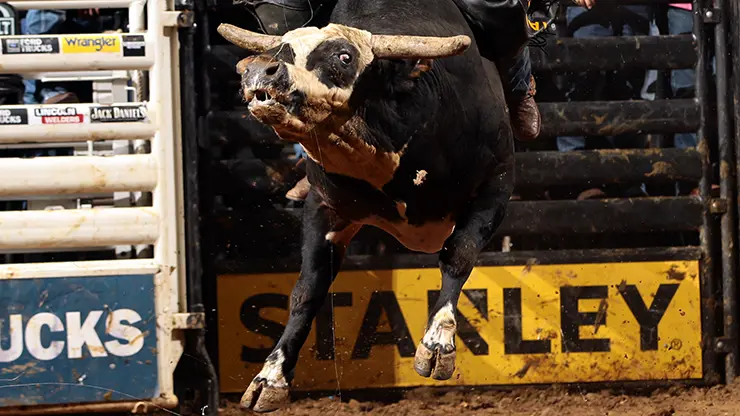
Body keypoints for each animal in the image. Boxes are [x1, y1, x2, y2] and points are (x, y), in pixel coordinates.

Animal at [217, 0, 517, 411]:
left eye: (344, 56)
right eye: (280, 48)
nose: (261, 71)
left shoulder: (496, 186)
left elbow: (459, 255)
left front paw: (437, 345)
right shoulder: (324, 206)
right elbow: (308, 288)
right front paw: (270, 377)